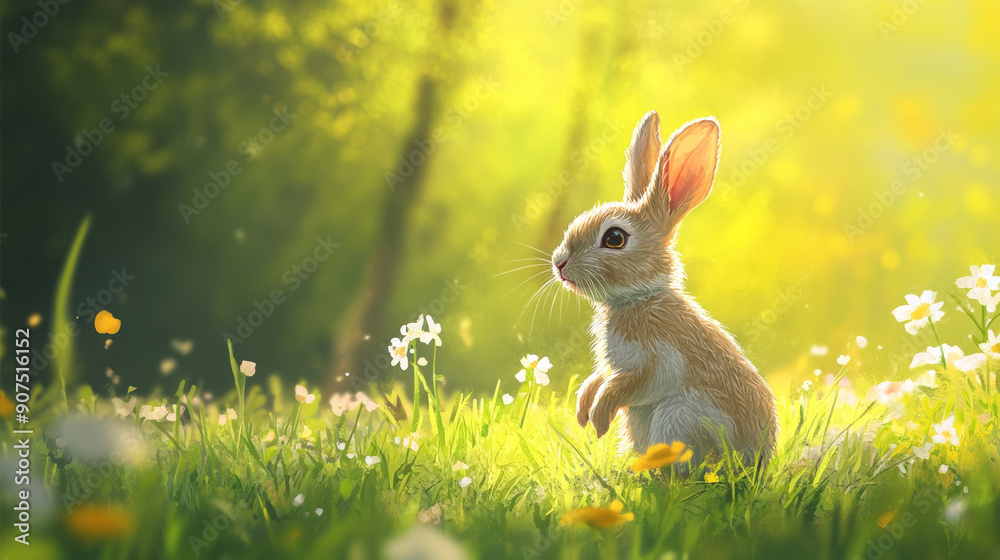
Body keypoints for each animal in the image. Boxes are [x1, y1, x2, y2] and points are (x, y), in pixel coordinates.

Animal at [550, 112, 777, 469]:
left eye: (614, 238)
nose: (559, 263)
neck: (637, 298)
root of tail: (756, 462)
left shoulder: (657, 358)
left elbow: (633, 383)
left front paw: (598, 417)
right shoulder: (615, 366)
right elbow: (601, 377)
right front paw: (583, 408)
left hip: (678, 418)